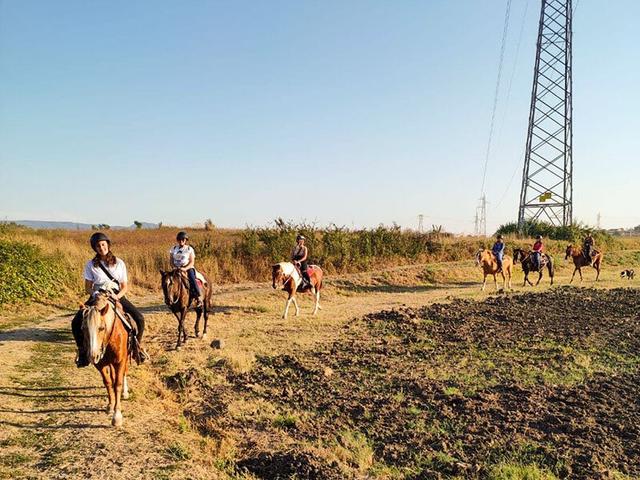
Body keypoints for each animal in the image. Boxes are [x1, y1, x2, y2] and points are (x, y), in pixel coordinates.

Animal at [79, 292, 130, 428]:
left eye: (101, 328)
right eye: (83, 328)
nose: (93, 356)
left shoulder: (120, 361)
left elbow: (117, 383)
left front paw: (117, 417)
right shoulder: (101, 364)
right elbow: (108, 382)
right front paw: (110, 406)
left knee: (124, 373)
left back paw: (125, 392)